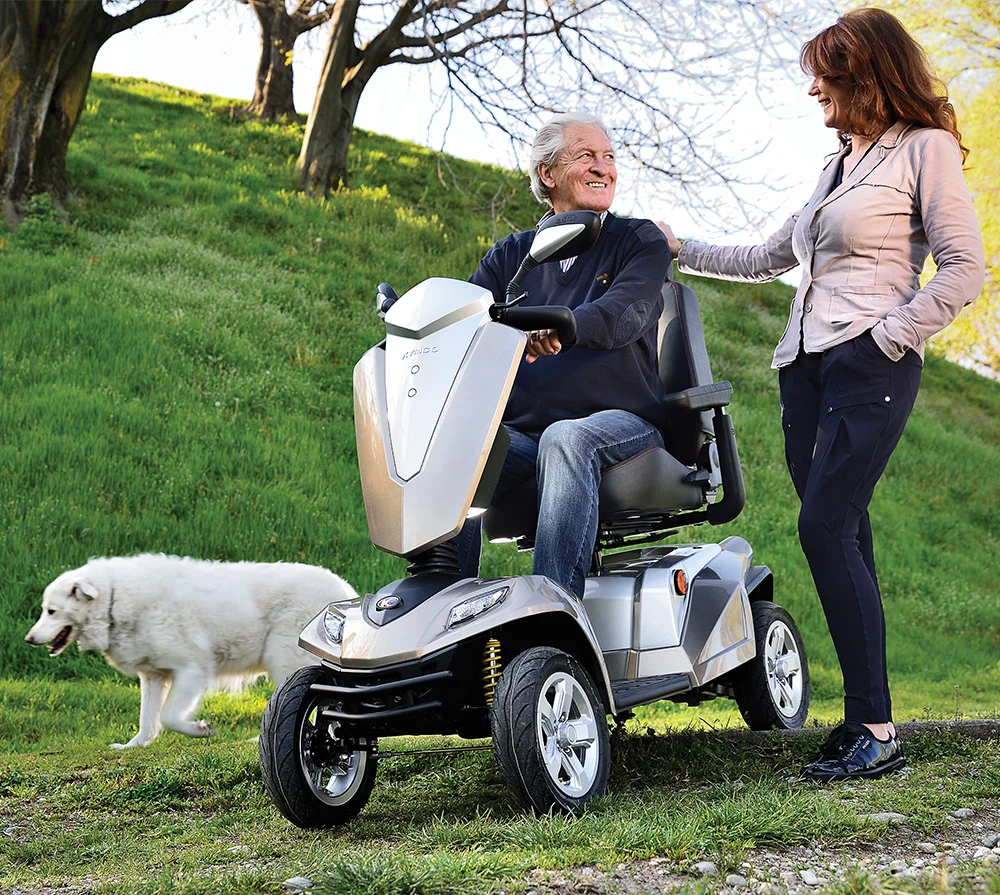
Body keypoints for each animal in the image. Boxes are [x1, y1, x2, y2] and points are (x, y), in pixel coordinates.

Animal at [24, 552, 360, 748]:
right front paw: (135, 746)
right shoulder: (153, 677)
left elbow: (170, 717)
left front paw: (201, 730)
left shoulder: (192, 670)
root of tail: (346, 591)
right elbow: (148, 719)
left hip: (283, 659)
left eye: (52, 611)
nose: (28, 639)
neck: (114, 599)